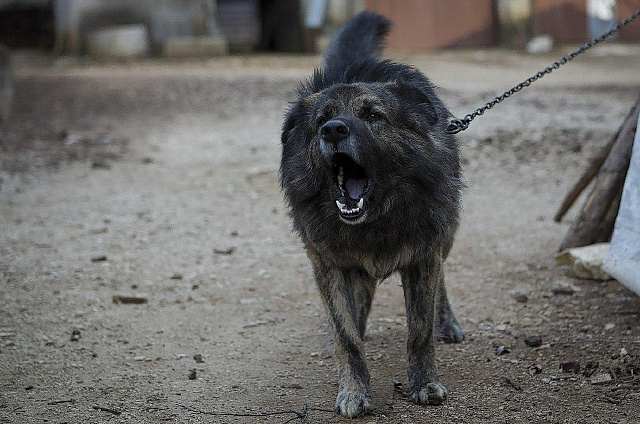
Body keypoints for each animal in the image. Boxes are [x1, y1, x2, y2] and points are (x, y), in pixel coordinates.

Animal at [280, 10, 464, 418]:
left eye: (373, 115)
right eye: (322, 119)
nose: (333, 130)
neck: (375, 219)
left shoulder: (423, 255)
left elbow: (419, 330)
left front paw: (423, 383)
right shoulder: (328, 262)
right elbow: (346, 334)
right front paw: (354, 390)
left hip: (446, 234)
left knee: (443, 278)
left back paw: (447, 322)